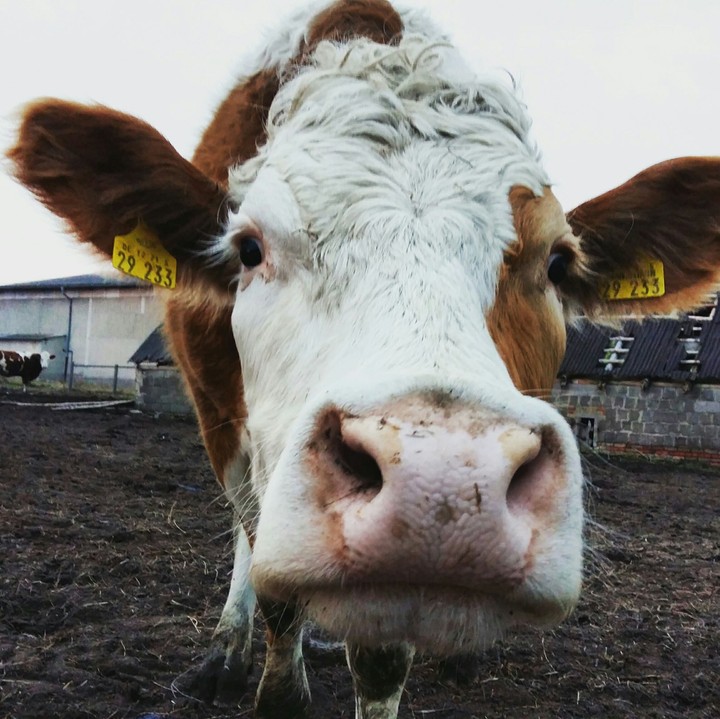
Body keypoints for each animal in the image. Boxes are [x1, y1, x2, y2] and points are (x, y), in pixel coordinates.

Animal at [8, 1, 720, 717]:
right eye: (248, 249)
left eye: (557, 262)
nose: (445, 485)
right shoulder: (223, 424)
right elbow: (271, 582)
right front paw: (272, 683)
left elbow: (380, 657)